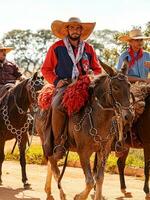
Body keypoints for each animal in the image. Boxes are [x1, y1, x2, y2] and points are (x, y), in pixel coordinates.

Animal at [35, 63, 134, 200]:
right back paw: (61, 194)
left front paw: (98, 196)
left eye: (129, 85)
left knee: (52, 164)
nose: (129, 116)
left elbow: (99, 178)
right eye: (115, 87)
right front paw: (78, 196)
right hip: (46, 141)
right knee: (55, 168)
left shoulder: (104, 151)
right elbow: (90, 181)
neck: (98, 118)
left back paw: (49, 192)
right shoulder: (83, 152)